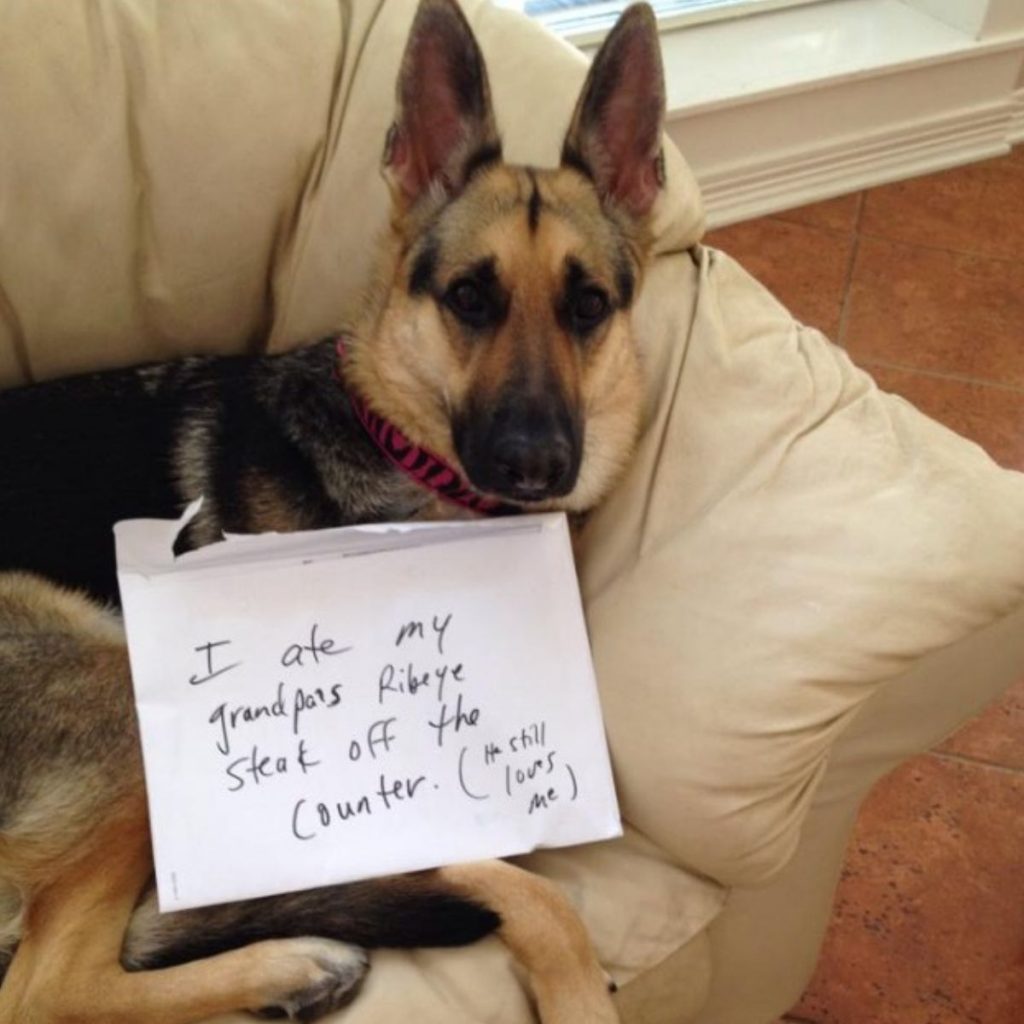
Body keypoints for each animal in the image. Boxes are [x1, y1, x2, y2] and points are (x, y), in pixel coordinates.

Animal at [0, 2, 667, 1015]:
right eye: (469, 297)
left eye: (588, 305)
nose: (537, 465)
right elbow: (543, 899)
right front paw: (581, 996)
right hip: (120, 692)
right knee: (46, 988)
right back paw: (293, 958)